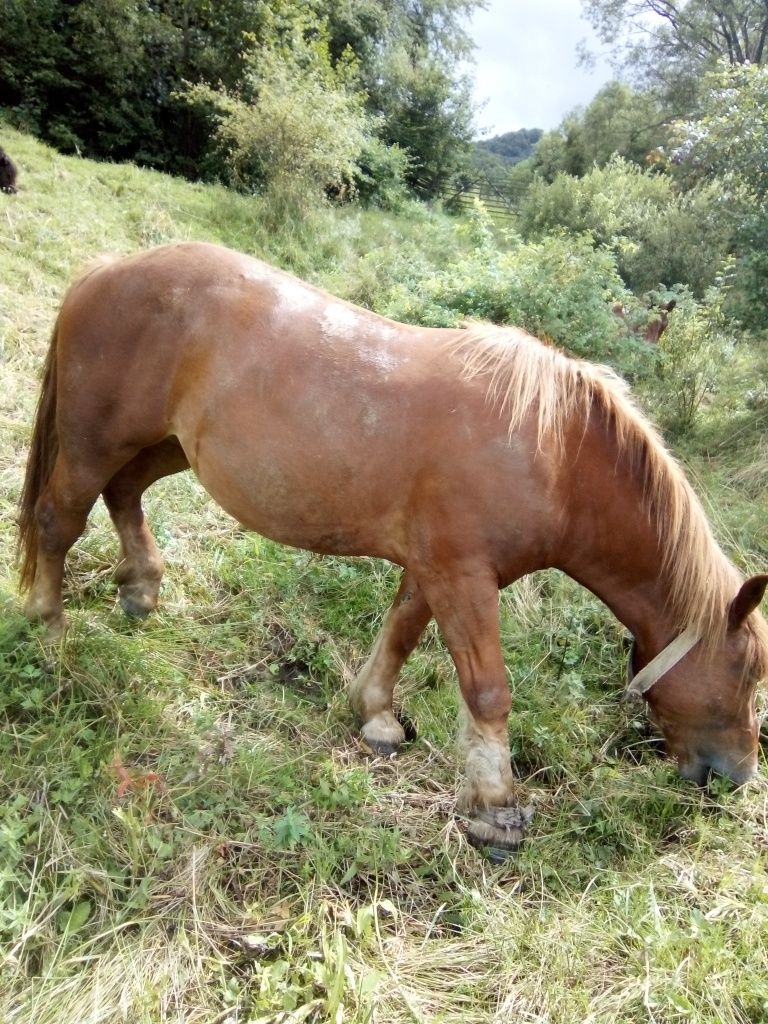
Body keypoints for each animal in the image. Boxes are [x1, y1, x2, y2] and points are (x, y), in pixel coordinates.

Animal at [18, 241, 768, 856]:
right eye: (748, 672)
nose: (736, 777)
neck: (553, 452)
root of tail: (106, 269)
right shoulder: (462, 576)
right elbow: (488, 690)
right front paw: (495, 809)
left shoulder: (433, 568)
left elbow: (402, 632)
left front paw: (373, 712)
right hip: (94, 444)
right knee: (59, 522)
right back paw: (49, 637)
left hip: (164, 445)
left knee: (124, 494)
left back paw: (140, 587)